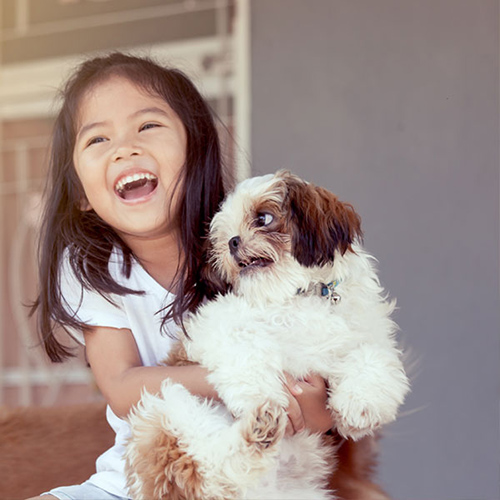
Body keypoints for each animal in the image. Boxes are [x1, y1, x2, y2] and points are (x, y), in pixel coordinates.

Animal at [123, 170, 408, 498]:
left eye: (263, 218)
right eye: (223, 234)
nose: (232, 241)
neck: (301, 295)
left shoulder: (369, 335)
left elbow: (372, 357)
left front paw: (361, 406)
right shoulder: (218, 323)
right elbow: (246, 348)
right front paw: (261, 395)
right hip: (165, 411)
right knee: (212, 469)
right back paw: (259, 427)